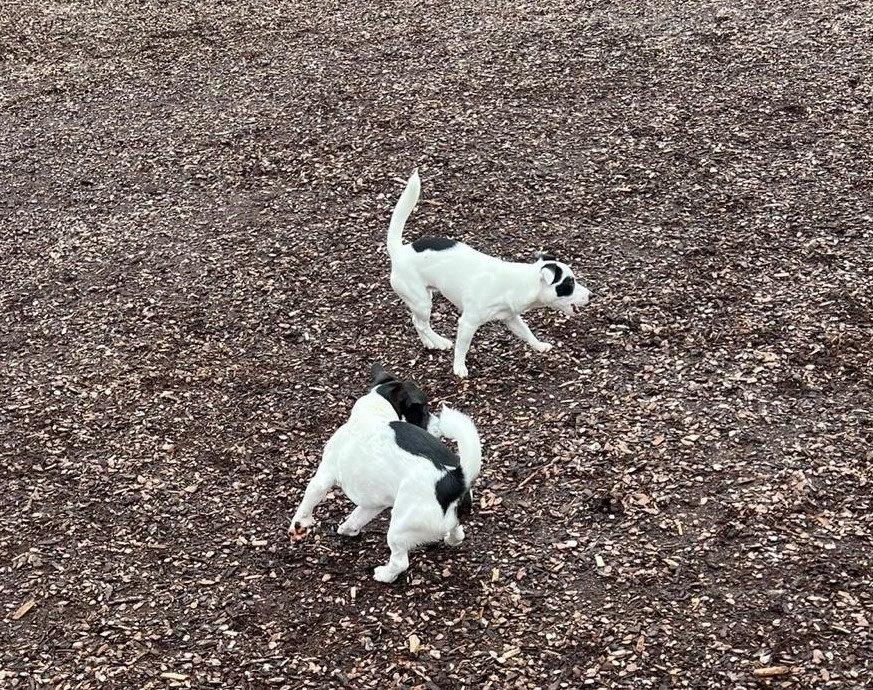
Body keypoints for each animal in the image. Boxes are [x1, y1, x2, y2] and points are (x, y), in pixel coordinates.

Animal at [290, 364, 482, 583]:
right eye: (425, 410)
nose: (438, 426)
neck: (373, 414)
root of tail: (456, 477)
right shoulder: (373, 503)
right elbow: (356, 517)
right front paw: (348, 529)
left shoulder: (323, 476)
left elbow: (307, 502)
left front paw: (299, 524)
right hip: (446, 521)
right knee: (458, 533)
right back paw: (450, 539)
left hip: (398, 530)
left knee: (400, 562)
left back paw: (384, 575)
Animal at [386, 169, 592, 377]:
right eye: (569, 284)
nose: (592, 295)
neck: (520, 282)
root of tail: (399, 251)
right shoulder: (467, 323)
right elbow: (462, 348)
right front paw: (459, 368)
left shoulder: (512, 318)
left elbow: (527, 332)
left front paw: (539, 345)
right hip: (422, 302)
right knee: (422, 324)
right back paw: (440, 341)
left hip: (423, 299)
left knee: (416, 321)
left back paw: (429, 343)